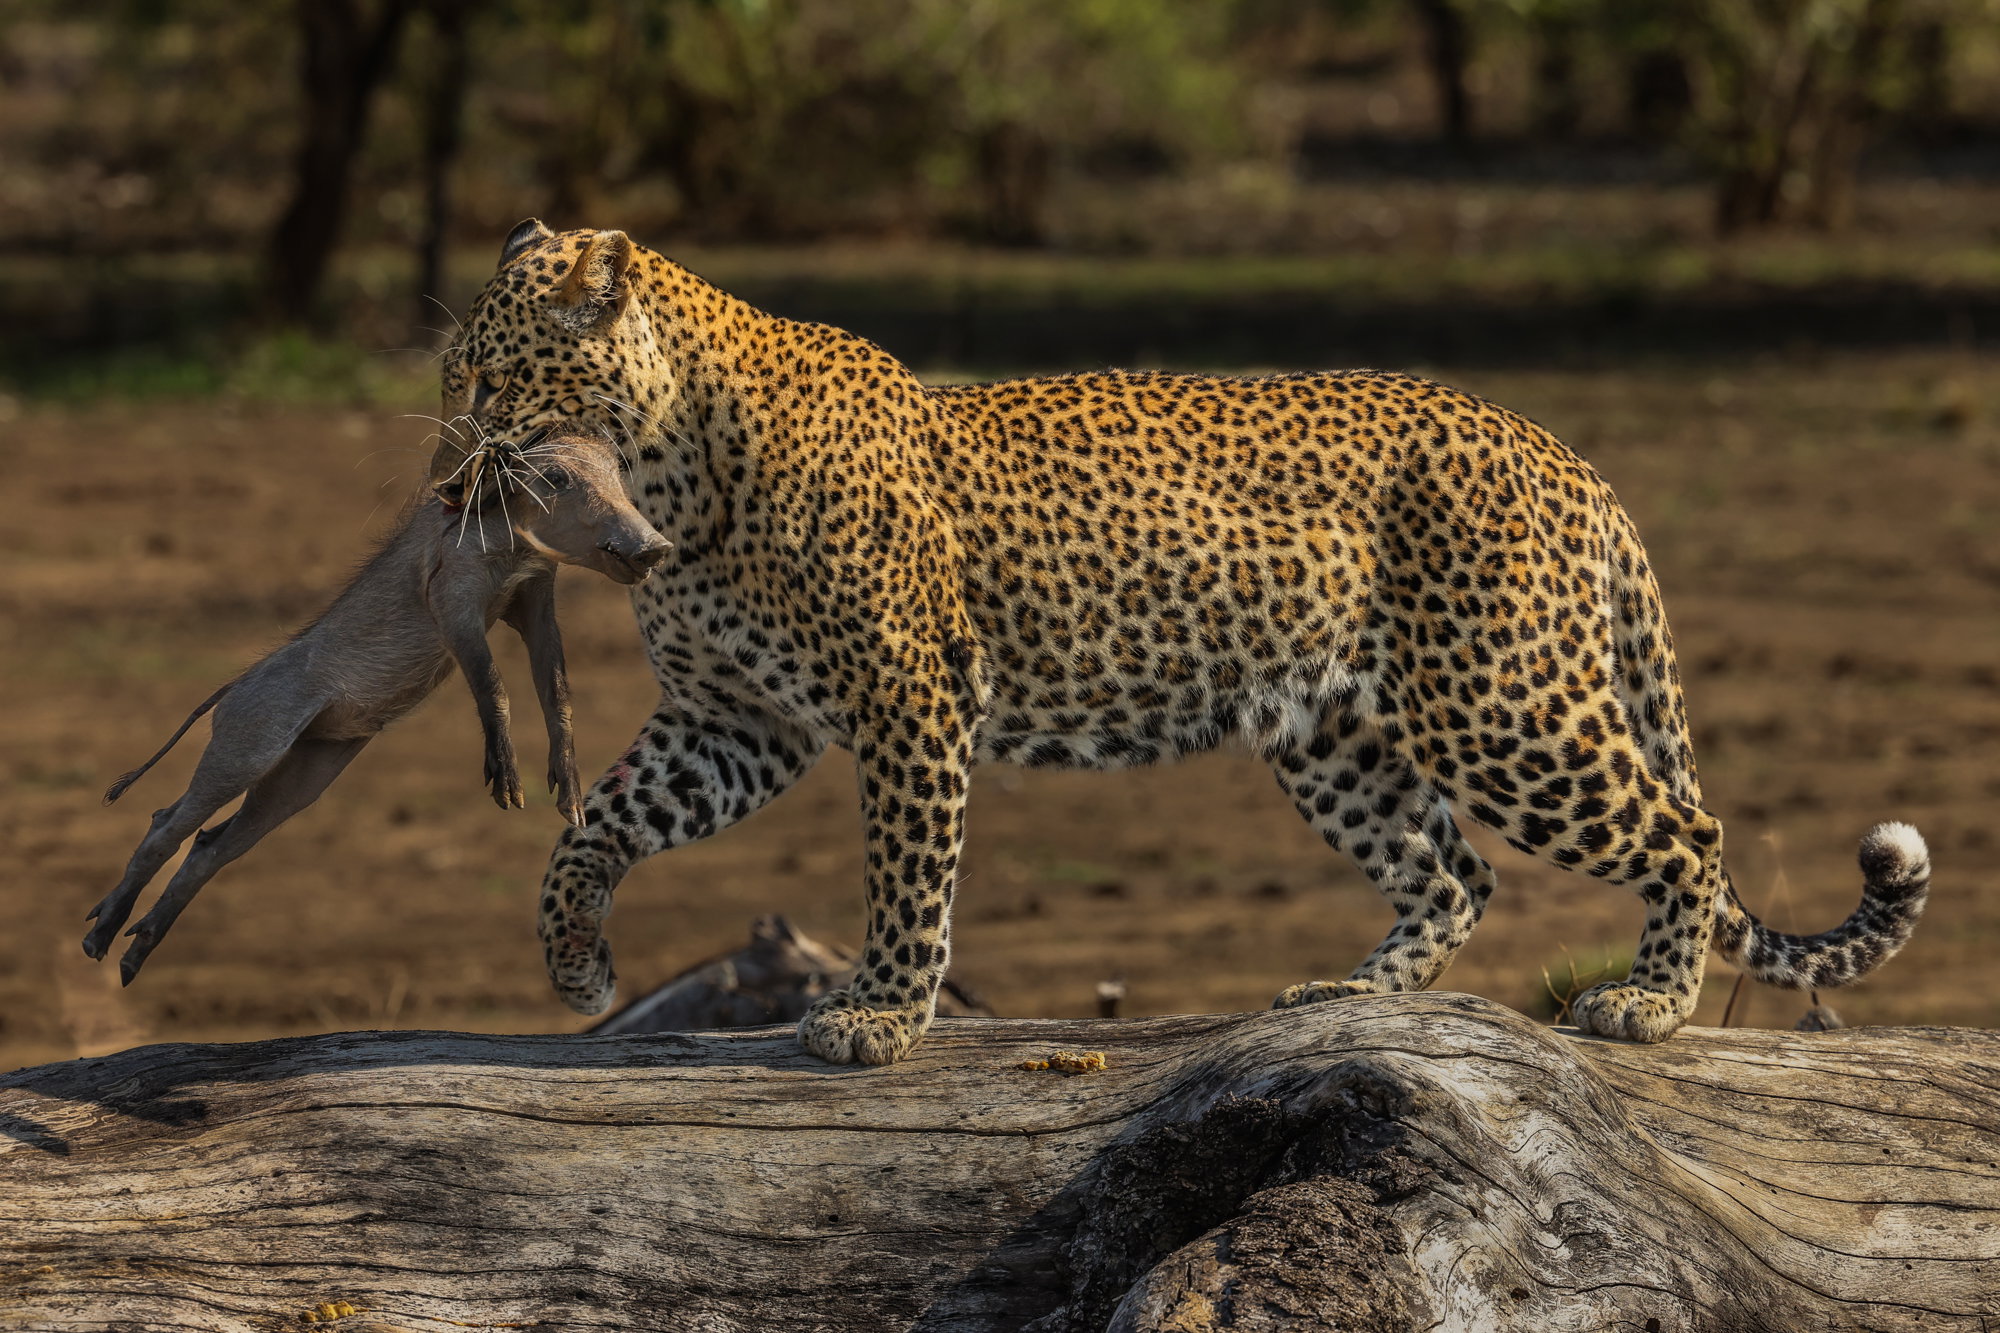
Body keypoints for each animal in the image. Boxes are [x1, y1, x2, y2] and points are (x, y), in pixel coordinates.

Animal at [443, 218, 1930, 1066]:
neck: (667, 463)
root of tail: (1564, 454)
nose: (452, 450)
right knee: (1453, 871)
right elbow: (599, 824)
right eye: (452, 371)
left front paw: (878, 1015)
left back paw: (1648, 1006)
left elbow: (905, 878)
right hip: (1333, 732)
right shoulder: (733, 722)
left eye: (494, 372)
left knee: (1682, 831)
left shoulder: (908, 703)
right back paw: (1347, 1000)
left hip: (1499, 703)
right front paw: (576, 962)